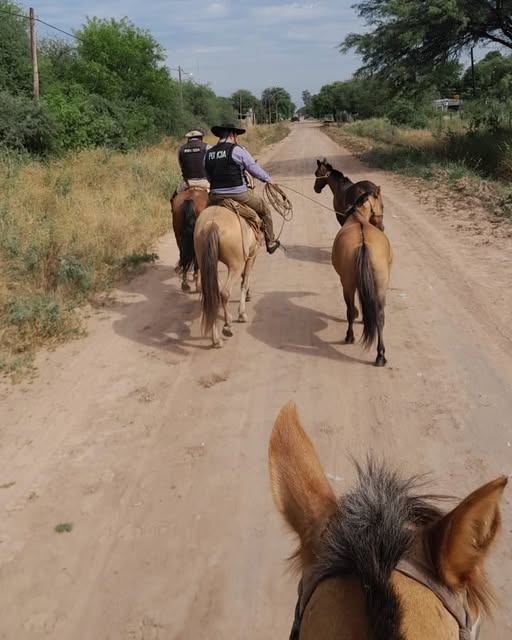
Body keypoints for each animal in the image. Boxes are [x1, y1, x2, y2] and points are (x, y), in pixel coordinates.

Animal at [194, 205, 260, 348]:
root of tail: (211, 224)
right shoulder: (252, 255)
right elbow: (245, 281)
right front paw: (242, 314)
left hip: (205, 262)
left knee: (212, 296)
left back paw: (216, 339)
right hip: (235, 265)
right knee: (224, 292)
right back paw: (227, 326)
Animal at [331, 188, 391, 366]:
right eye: (382, 205)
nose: (382, 227)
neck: (358, 218)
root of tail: (364, 244)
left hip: (348, 285)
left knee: (350, 310)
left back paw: (349, 336)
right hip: (379, 287)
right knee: (380, 316)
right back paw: (380, 355)